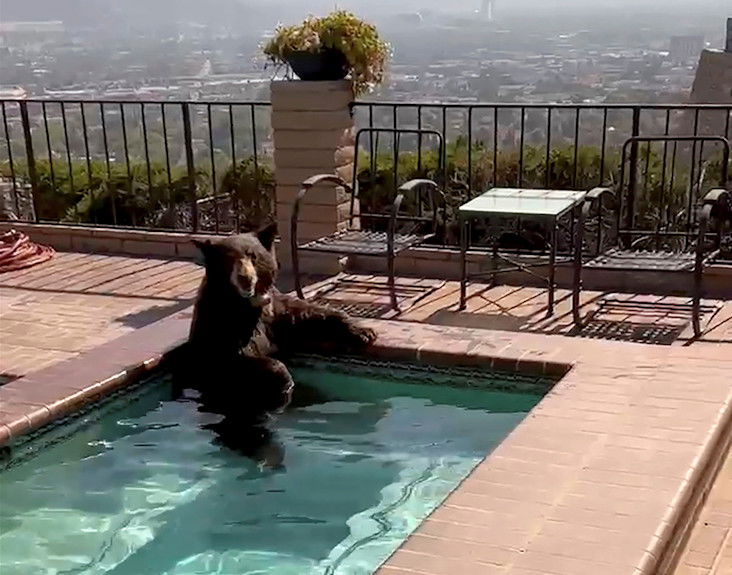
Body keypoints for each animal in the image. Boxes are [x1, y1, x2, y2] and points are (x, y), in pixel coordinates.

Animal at [184, 220, 378, 418]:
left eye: (253, 256)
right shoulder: (220, 322)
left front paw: (363, 332)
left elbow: (303, 314)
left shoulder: (273, 310)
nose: (245, 278)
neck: (247, 303)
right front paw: (283, 377)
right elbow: (232, 359)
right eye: (228, 259)